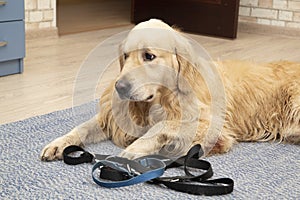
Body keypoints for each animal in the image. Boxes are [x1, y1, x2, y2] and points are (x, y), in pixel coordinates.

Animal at [40, 19, 300, 162]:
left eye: (149, 56)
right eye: (125, 56)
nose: (120, 87)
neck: (159, 100)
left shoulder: (208, 124)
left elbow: (161, 127)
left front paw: (132, 152)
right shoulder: (115, 117)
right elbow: (83, 127)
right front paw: (59, 143)